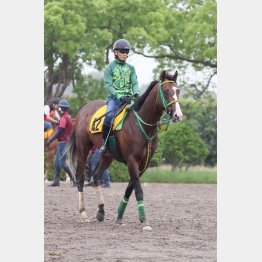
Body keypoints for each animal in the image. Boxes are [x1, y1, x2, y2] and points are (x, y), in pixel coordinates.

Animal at [66, 69, 183, 229]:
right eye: (165, 91)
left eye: (178, 91)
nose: (178, 115)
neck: (141, 124)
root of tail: (83, 110)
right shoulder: (132, 161)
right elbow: (138, 190)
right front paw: (144, 221)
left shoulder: (144, 164)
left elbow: (130, 188)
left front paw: (119, 216)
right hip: (83, 148)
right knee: (80, 177)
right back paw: (83, 213)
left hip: (107, 156)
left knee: (96, 176)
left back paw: (101, 211)